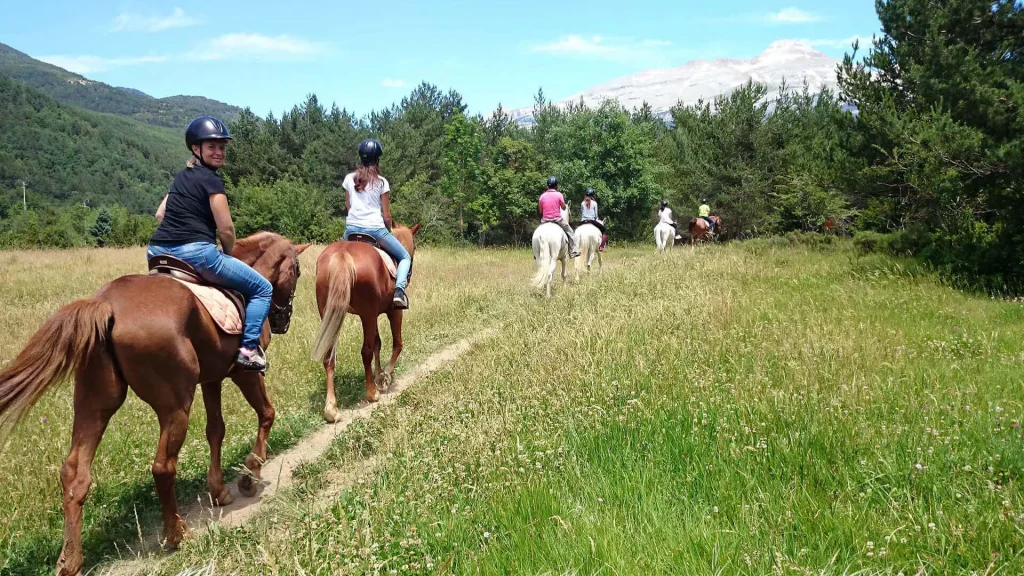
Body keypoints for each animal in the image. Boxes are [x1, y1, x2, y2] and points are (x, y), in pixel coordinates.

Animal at [0, 230, 307, 569]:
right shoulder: (245, 373)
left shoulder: (211, 378)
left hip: (94, 403)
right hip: (174, 406)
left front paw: (219, 491)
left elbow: (216, 430)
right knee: (162, 467)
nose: (282, 321)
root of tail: (107, 304)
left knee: (74, 473)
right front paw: (250, 476)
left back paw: (70, 561)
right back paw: (176, 534)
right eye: (297, 271)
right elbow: (267, 413)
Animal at [313, 222, 421, 420]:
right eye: (415, 246)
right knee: (365, 352)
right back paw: (371, 393)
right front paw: (384, 377)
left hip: (330, 315)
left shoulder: (374, 315)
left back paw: (331, 408)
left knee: (329, 356)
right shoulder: (393, 312)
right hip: (367, 315)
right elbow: (397, 344)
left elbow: (378, 343)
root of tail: (342, 255)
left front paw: (379, 375)